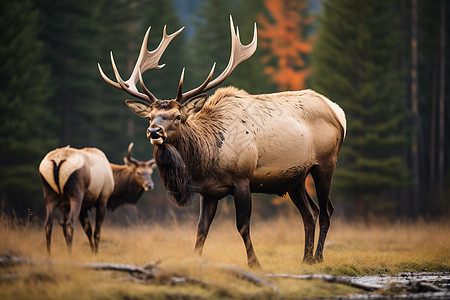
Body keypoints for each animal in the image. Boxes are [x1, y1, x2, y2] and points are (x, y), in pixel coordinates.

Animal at [98, 16, 344, 268]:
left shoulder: (242, 179)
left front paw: (255, 264)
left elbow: (243, 225)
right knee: (310, 213)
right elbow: (201, 229)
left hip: (325, 163)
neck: (206, 160)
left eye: (177, 116)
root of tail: (336, 110)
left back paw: (318, 257)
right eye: (150, 116)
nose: (154, 131)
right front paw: (195, 260)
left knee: (327, 211)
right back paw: (306, 259)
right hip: (295, 177)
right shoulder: (208, 192)